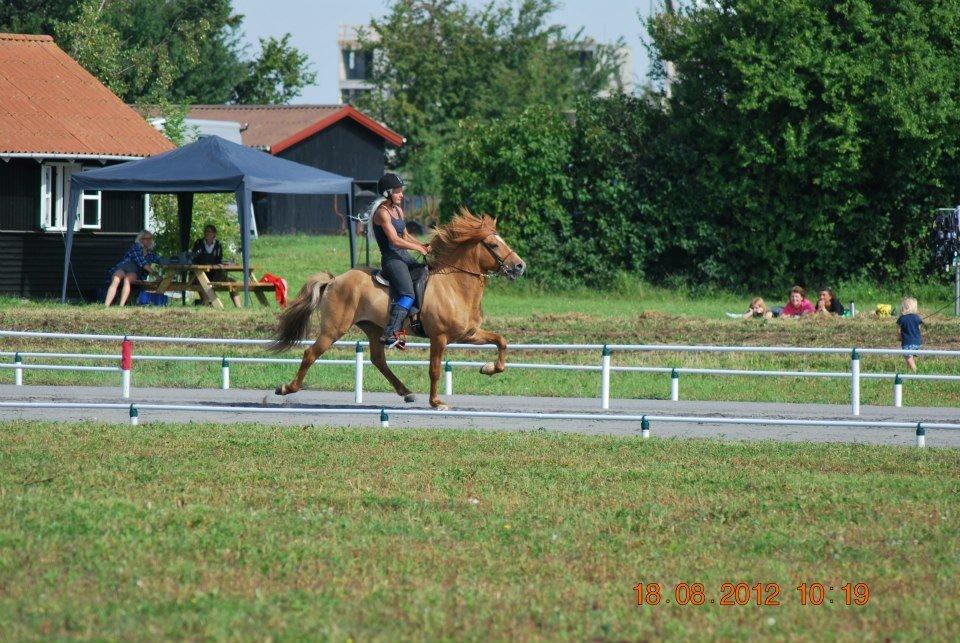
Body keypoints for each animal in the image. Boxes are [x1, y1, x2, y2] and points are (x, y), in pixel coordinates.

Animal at [270, 214, 524, 410]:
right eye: (493, 245)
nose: (520, 266)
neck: (454, 286)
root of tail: (334, 280)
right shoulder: (439, 338)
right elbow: (434, 370)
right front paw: (436, 402)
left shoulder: (468, 334)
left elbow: (501, 341)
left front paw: (488, 369)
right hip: (333, 329)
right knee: (310, 354)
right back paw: (286, 388)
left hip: (374, 329)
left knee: (378, 360)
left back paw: (406, 392)